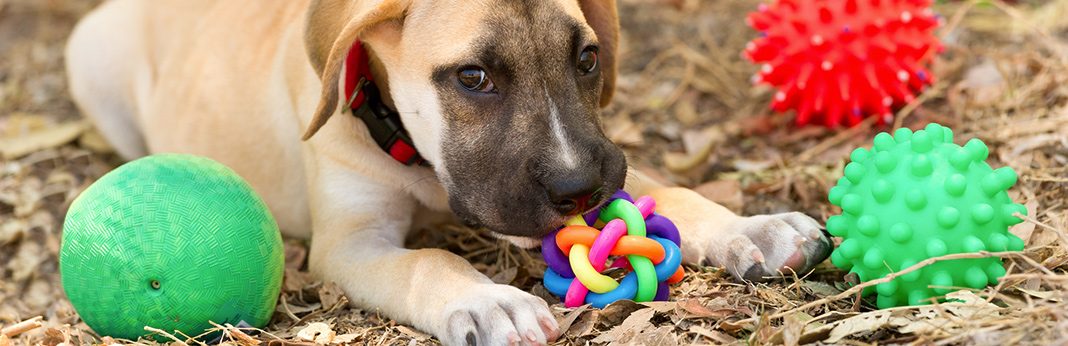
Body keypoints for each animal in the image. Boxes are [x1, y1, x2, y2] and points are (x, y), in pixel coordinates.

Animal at [64, 0, 833, 343]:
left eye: (588, 58)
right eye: (473, 78)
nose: (579, 190)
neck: (422, 163)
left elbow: (675, 190)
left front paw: (754, 227)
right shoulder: (350, 244)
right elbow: (425, 261)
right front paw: (487, 302)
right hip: (91, 58)